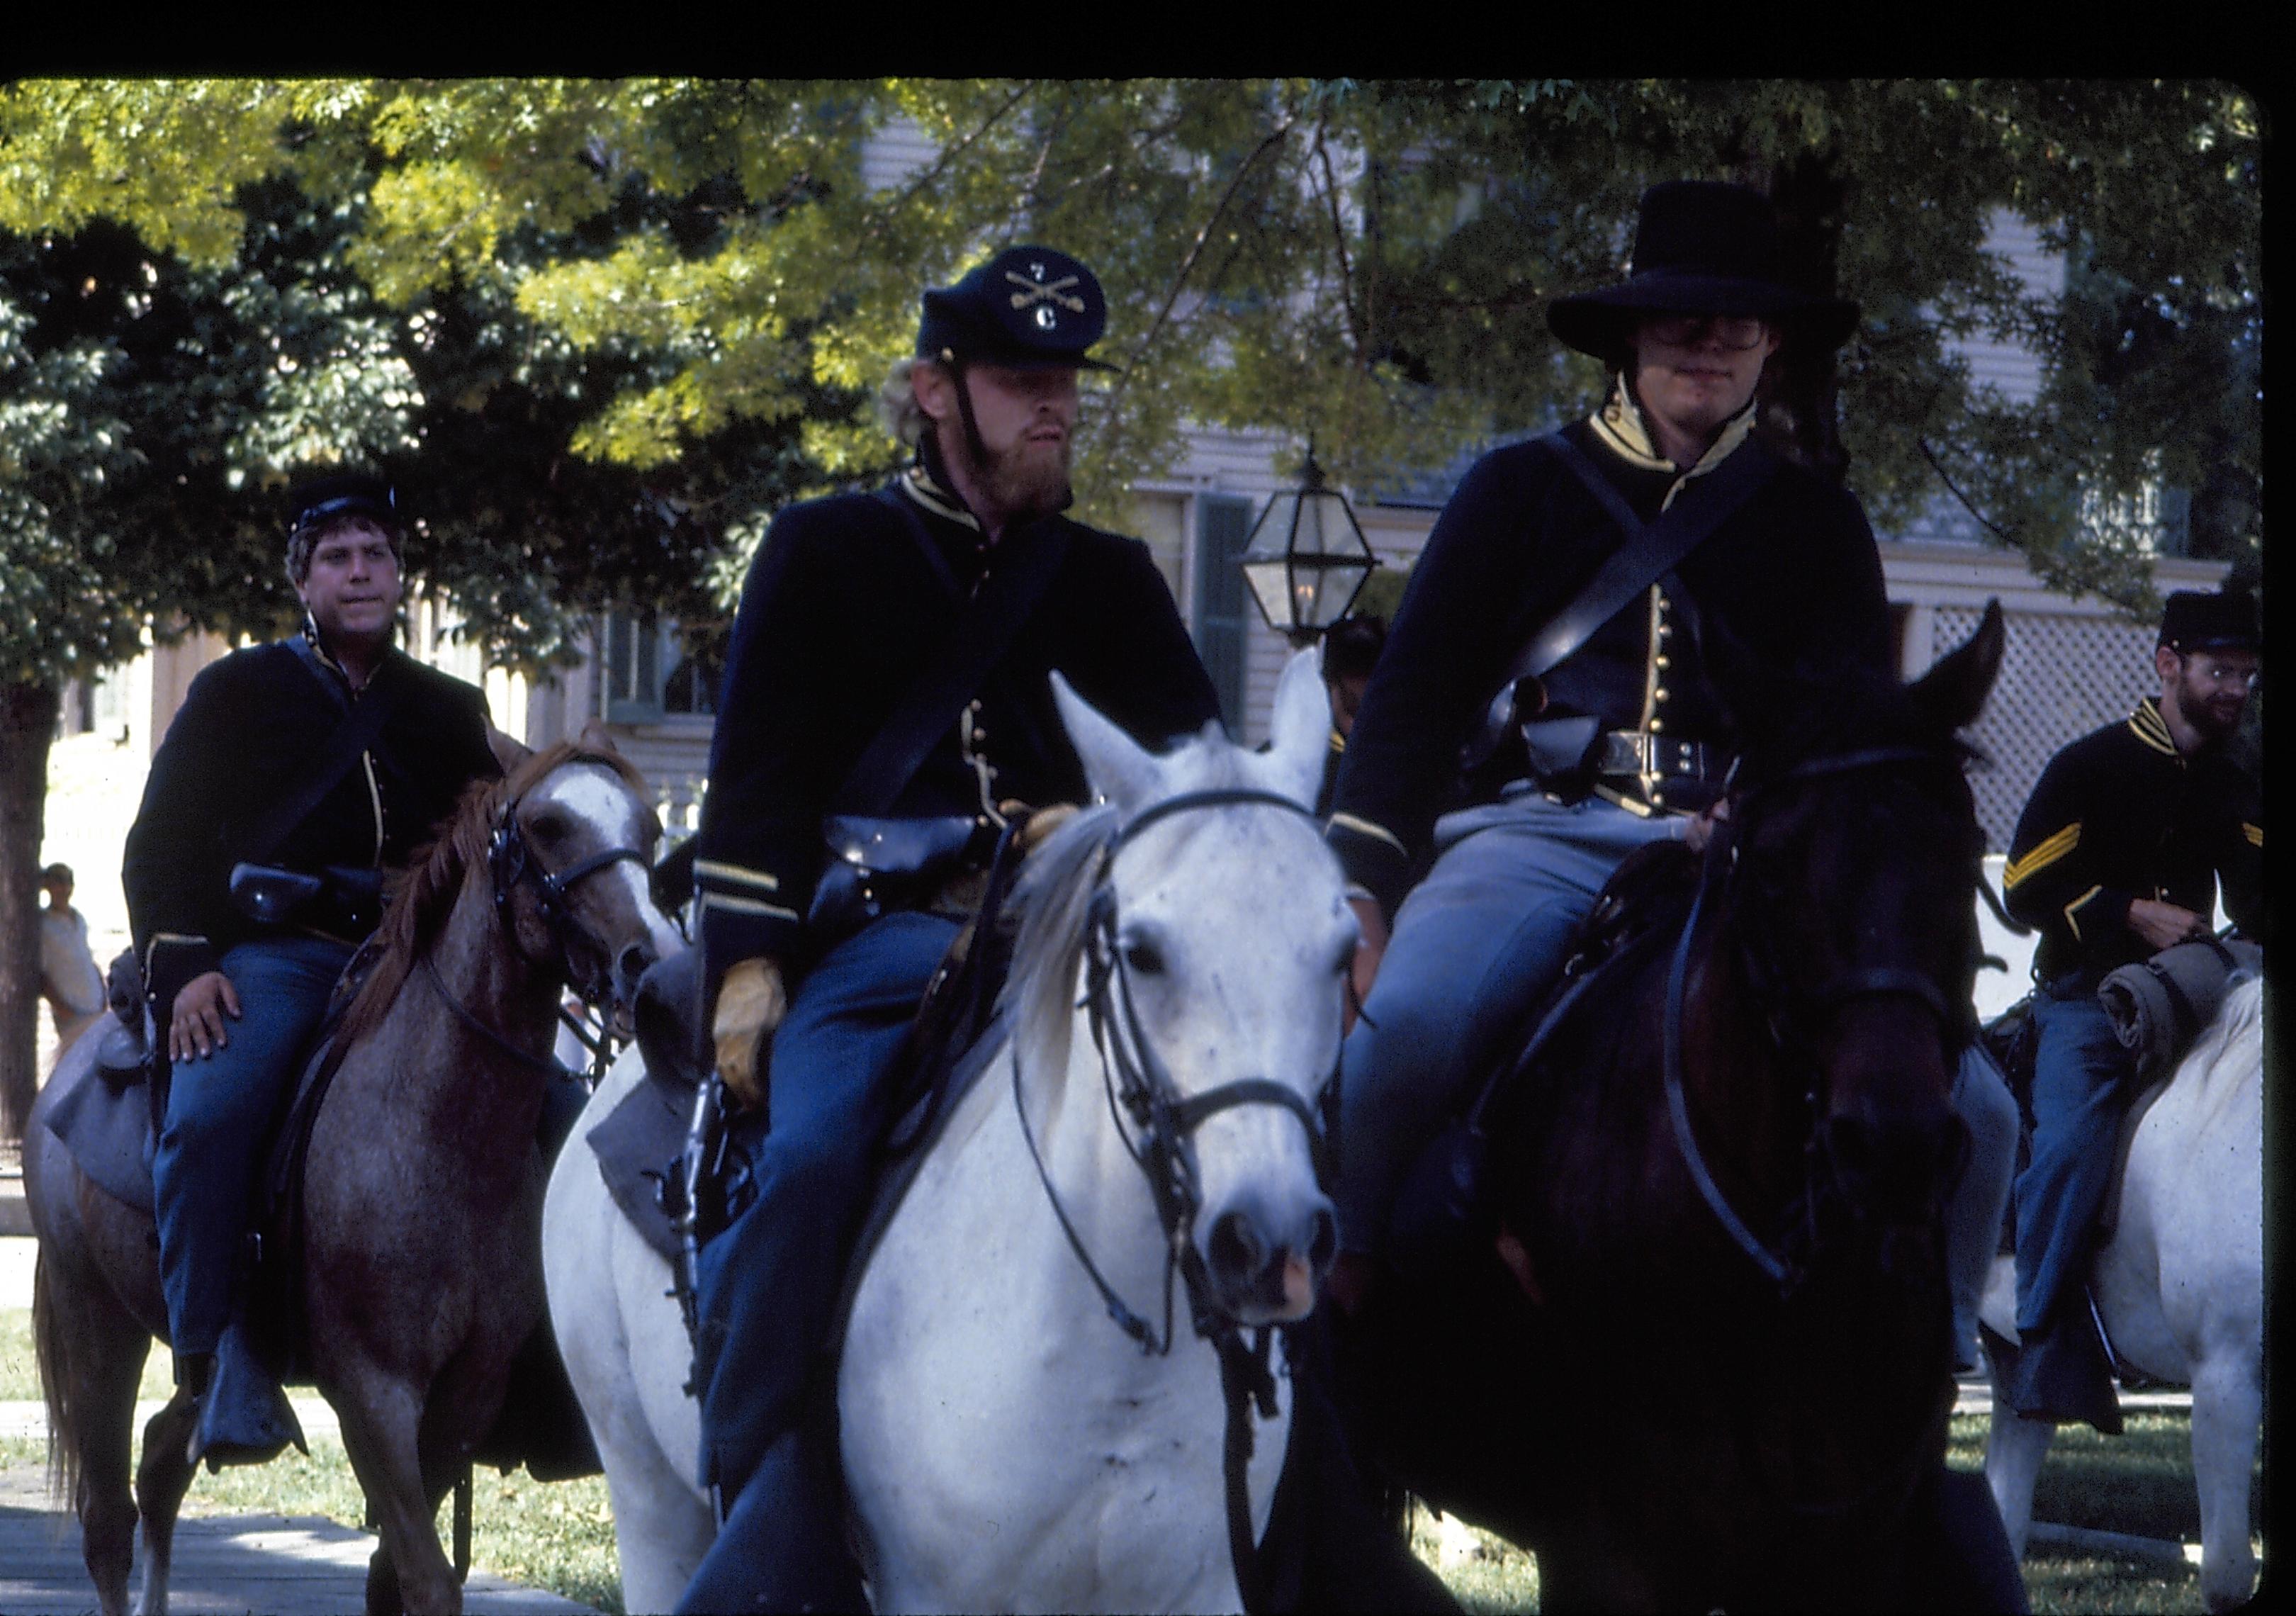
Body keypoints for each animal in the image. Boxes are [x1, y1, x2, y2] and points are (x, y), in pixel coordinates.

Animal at [24, 744, 680, 1616]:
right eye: (546, 825)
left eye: (649, 828)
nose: (650, 959)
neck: (440, 1126)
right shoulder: (373, 1394)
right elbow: (426, 1580)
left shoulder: (465, 1396)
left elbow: (392, 1579)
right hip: (95, 1320)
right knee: (107, 1521)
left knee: (163, 1459)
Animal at [546, 651, 1350, 1607]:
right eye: (1145, 952)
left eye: (1343, 951)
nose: (1269, 1240)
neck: (1112, 1361)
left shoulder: (1207, 1590)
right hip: (648, 1500)